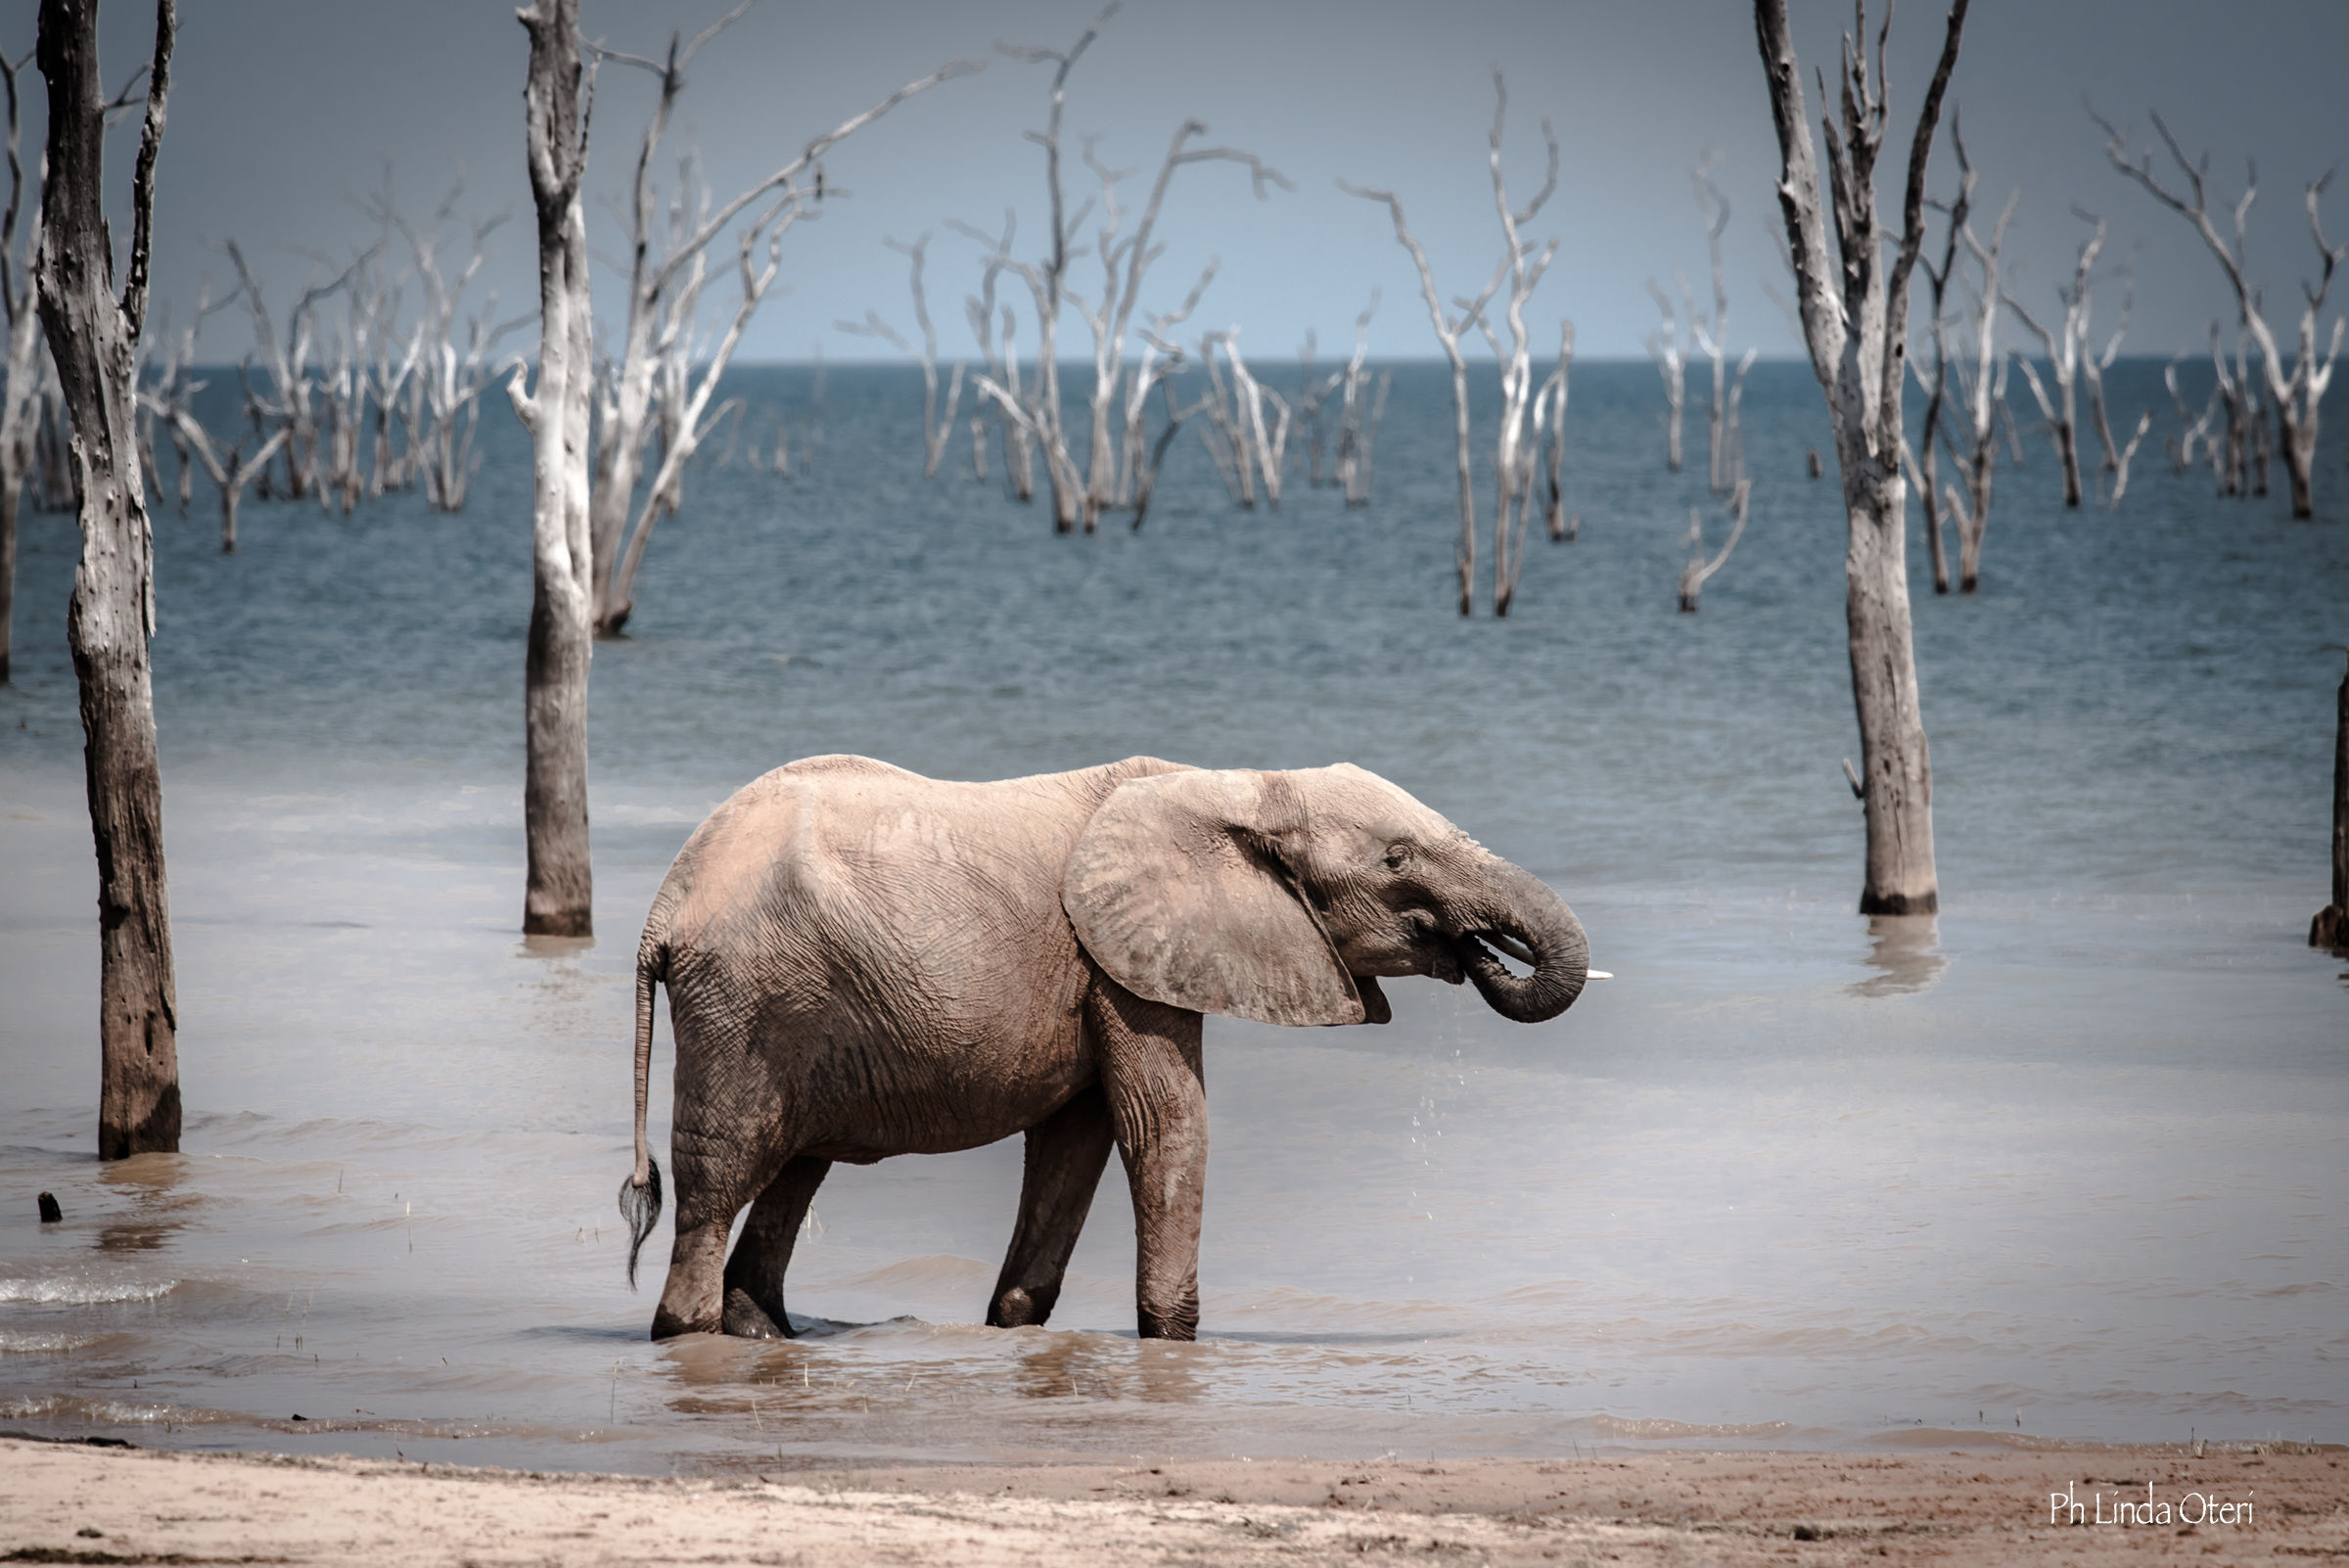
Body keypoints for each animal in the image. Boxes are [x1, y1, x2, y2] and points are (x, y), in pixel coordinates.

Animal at [618, 753, 1588, 1341]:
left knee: (794, 1167)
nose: (1480, 952)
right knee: (724, 1173)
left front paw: (1014, 1326)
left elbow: (1074, 1144)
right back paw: (689, 1330)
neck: (1239, 787)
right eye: (1397, 860)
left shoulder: (1105, 973)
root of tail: (664, 908)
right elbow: (1164, 1125)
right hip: (744, 1003)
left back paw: (761, 1331)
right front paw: (1173, 1340)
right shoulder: (1125, 965)